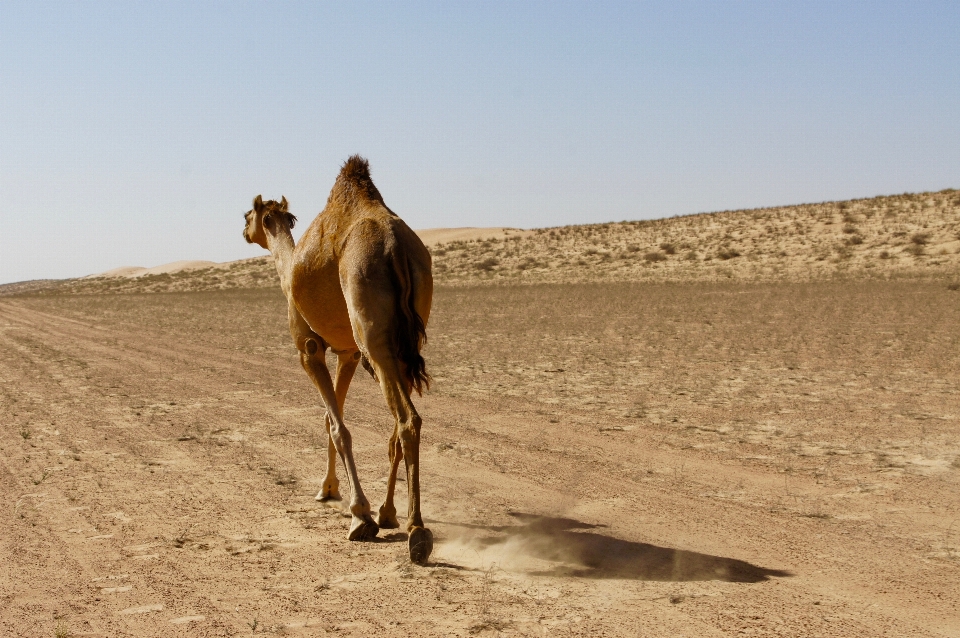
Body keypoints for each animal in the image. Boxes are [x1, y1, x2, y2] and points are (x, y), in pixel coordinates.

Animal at [240, 158, 436, 568]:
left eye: (248, 214)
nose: (242, 229)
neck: (288, 271)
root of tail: (395, 247)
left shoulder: (309, 349)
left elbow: (338, 427)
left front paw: (359, 515)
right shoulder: (348, 354)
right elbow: (333, 418)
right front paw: (331, 490)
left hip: (371, 329)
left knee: (407, 419)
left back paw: (417, 533)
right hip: (404, 339)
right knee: (396, 426)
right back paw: (391, 512)